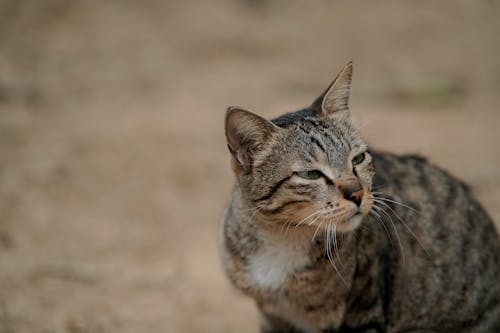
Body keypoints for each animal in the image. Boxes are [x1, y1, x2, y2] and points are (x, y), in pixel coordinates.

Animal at [220, 63, 500, 332]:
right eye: (310, 174)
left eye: (357, 159)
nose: (356, 193)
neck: (282, 239)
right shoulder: (274, 316)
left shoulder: (364, 310)